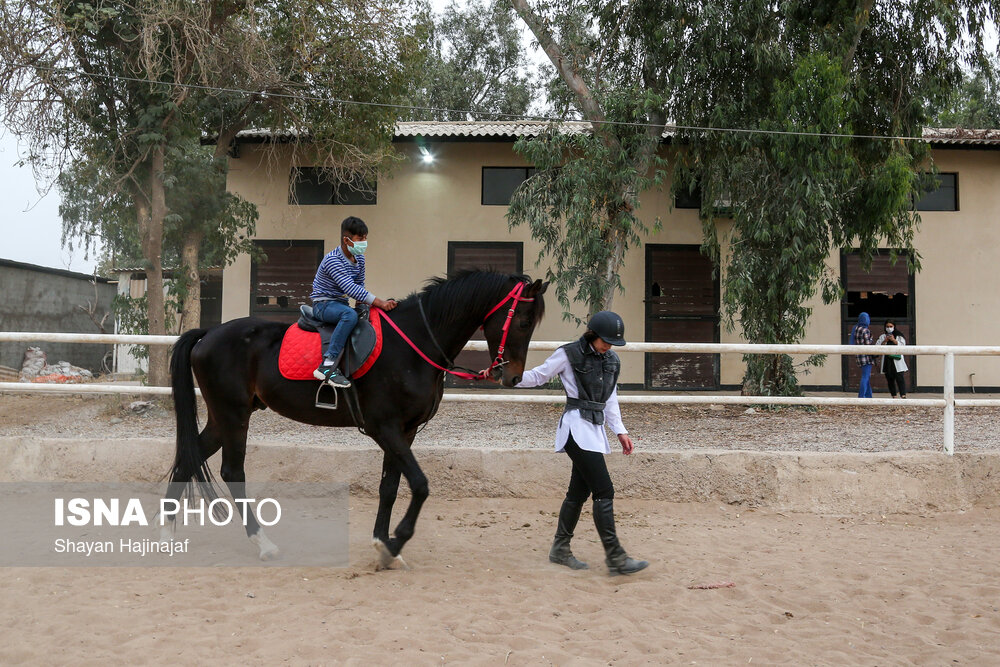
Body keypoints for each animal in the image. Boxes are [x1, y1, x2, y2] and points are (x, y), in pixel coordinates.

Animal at [168, 268, 552, 568]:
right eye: (522, 321)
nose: (513, 377)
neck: (414, 344)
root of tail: (208, 333)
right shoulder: (385, 428)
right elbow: (420, 484)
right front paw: (395, 542)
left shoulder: (405, 432)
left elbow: (390, 487)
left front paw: (383, 542)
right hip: (233, 415)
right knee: (232, 472)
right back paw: (264, 543)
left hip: (224, 417)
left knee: (189, 459)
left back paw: (165, 531)